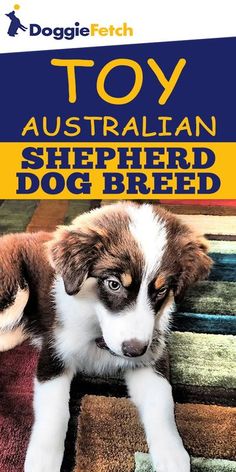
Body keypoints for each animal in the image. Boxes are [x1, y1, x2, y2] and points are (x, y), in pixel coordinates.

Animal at [0, 203, 213, 472]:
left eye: (162, 290)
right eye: (113, 284)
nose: (134, 350)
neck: (96, 326)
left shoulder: (151, 357)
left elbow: (163, 401)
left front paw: (172, 455)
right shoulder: (55, 353)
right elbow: (55, 412)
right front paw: (43, 461)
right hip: (15, 294)